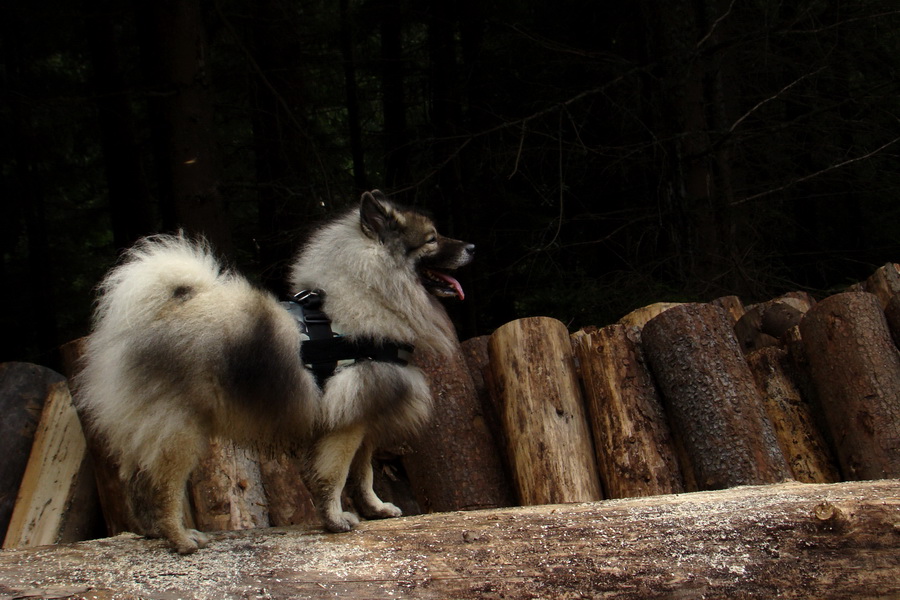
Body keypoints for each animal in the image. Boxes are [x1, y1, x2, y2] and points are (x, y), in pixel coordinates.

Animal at [75, 192, 478, 552]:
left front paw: (374, 509)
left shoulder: (362, 415)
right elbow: (335, 475)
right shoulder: (346, 422)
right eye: (432, 239)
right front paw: (336, 520)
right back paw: (181, 540)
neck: (367, 296)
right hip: (180, 434)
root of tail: (149, 319)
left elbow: (363, 474)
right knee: (164, 490)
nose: (473, 246)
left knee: (137, 483)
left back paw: (151, 533)